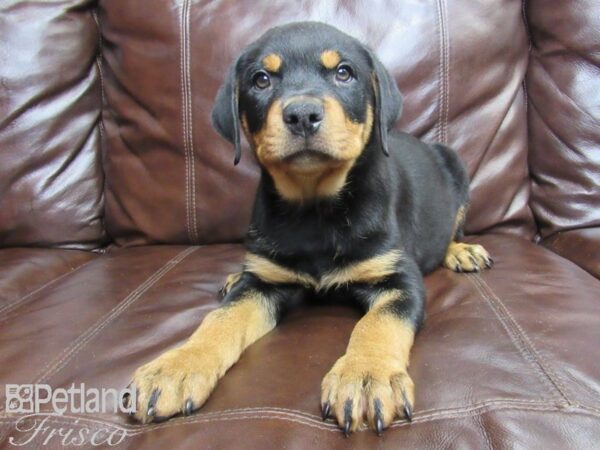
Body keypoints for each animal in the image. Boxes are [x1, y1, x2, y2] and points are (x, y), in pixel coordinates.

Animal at [127, 21, 492, 436]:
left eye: (344, 73)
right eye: (261, 79)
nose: (302, 114)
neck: (315, 207)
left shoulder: (399, 276)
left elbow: (379, 323)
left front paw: (365, 376)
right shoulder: (263, 283)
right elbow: (219, 319)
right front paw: (175, 367)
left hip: (455, 165)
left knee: (453, 229)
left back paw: (462, 251)